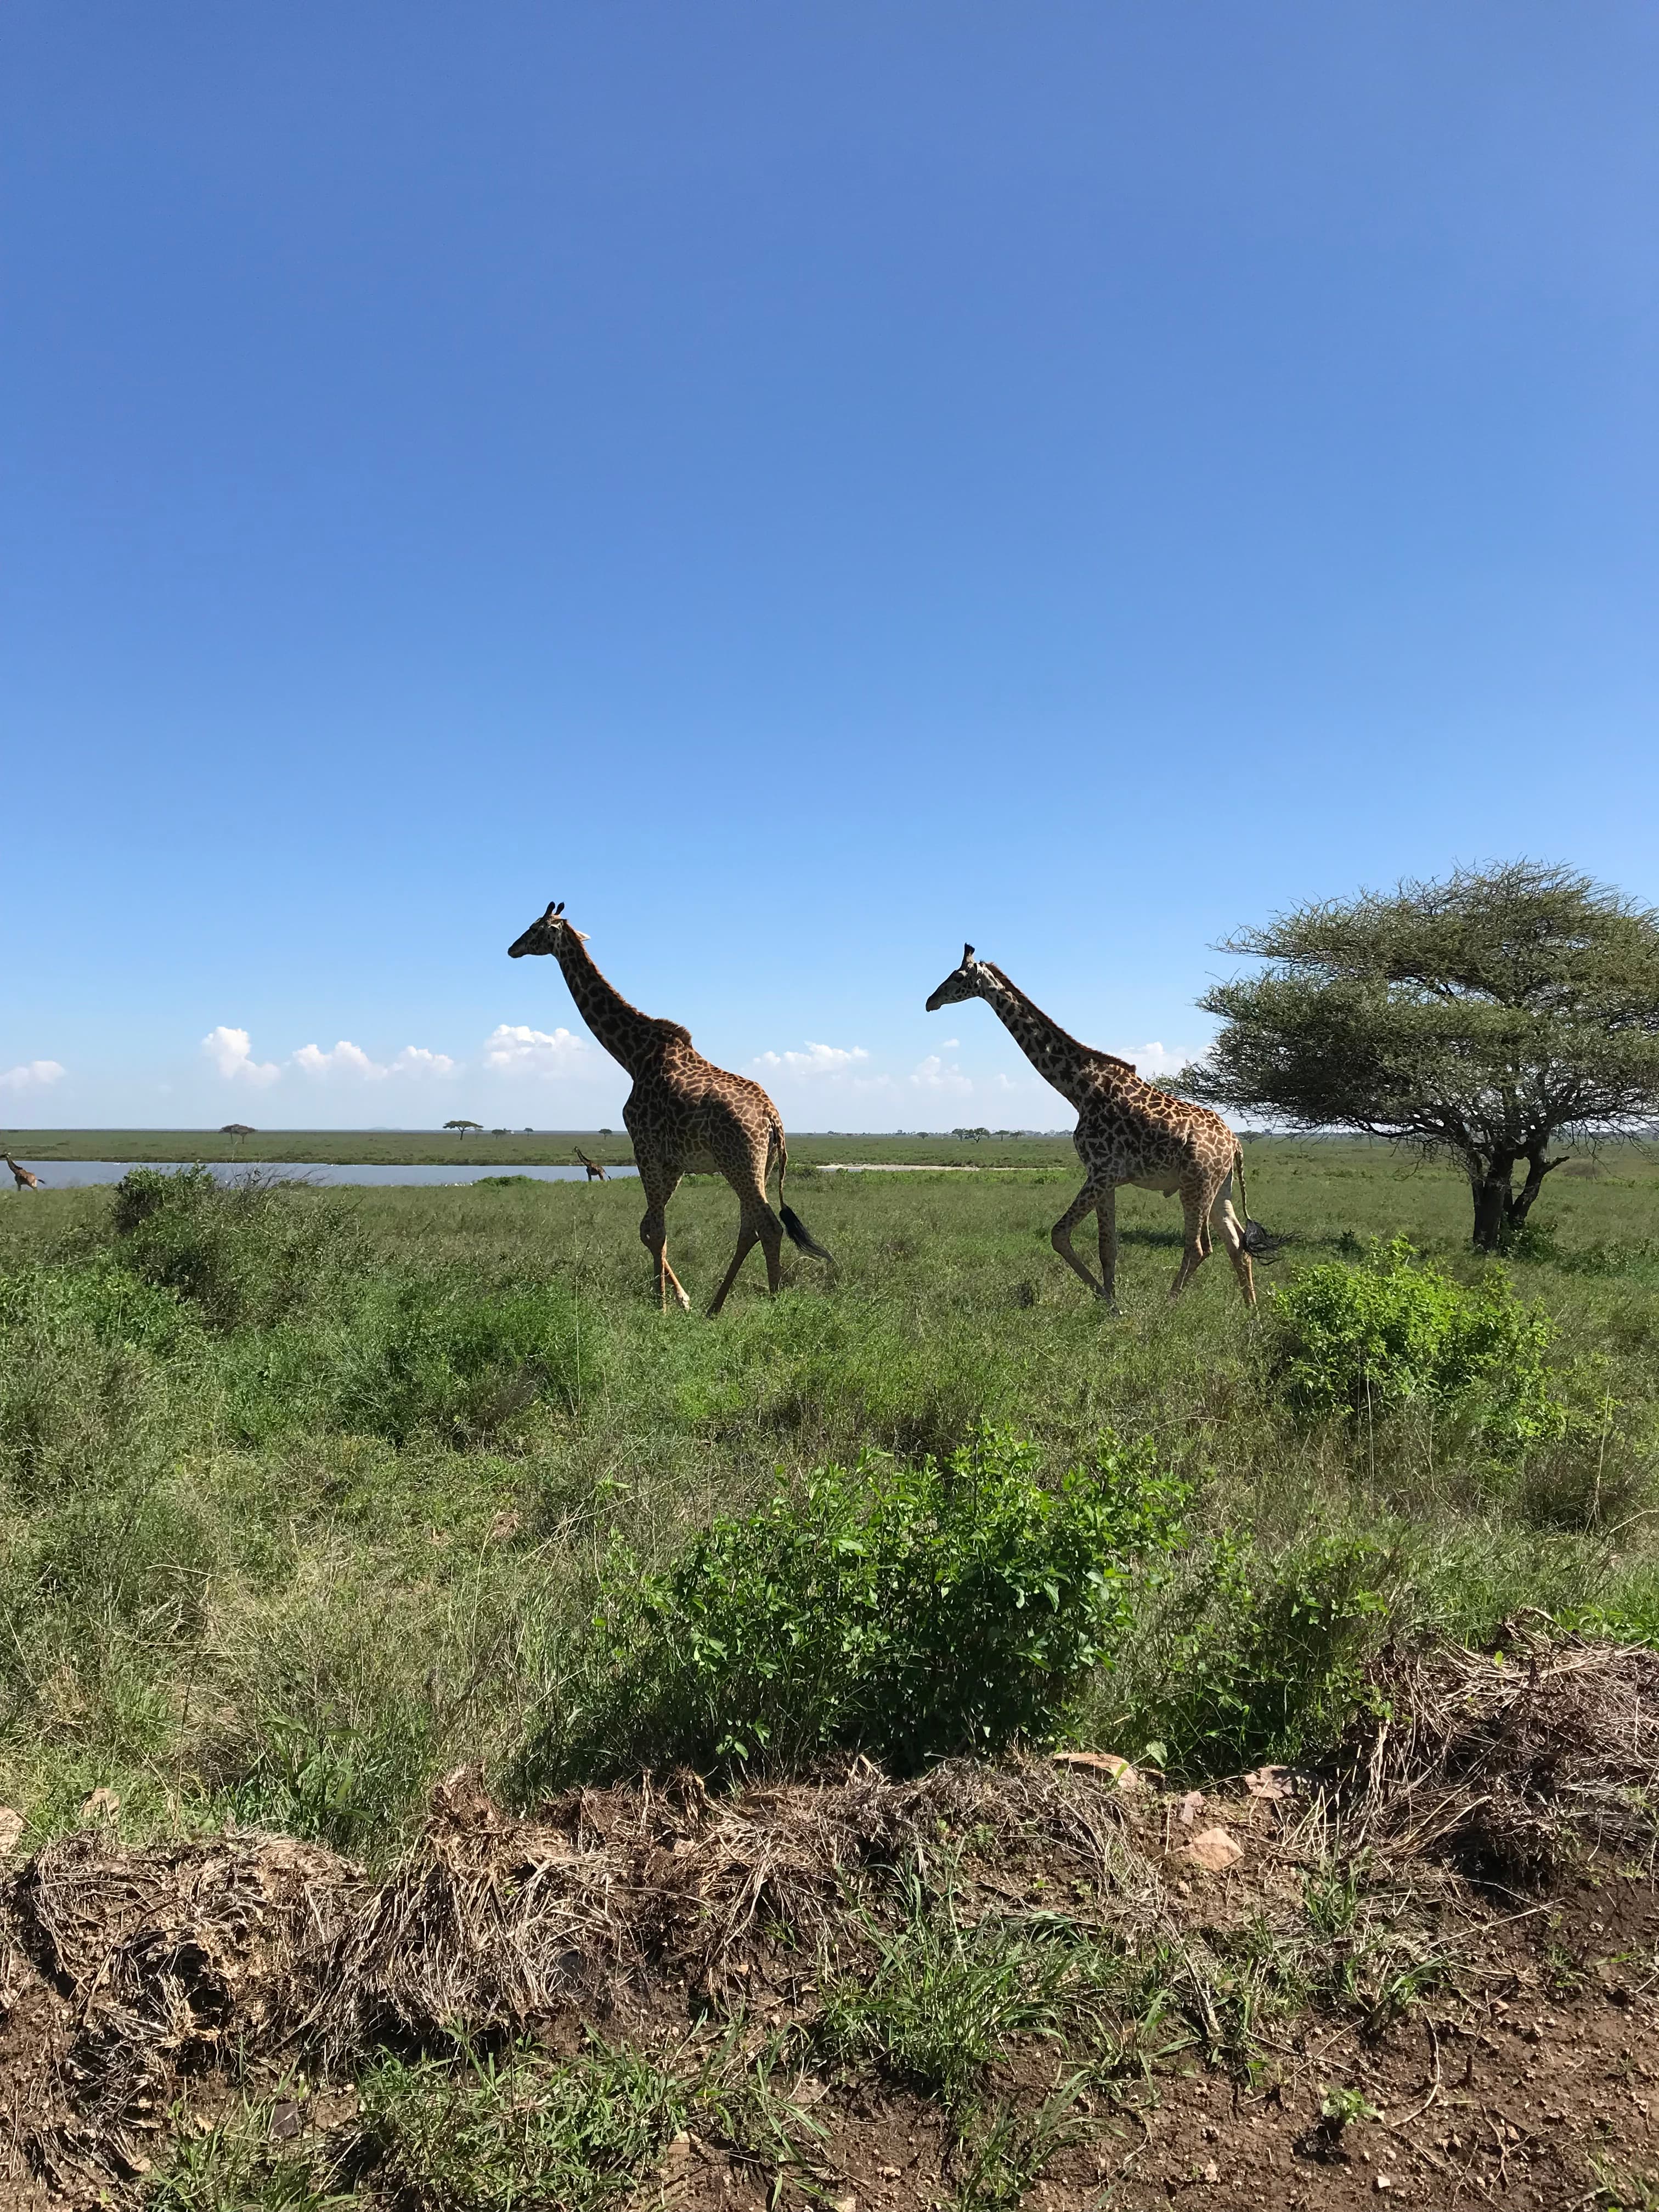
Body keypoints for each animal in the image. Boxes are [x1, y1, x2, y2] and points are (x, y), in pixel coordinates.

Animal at [509, 900, 833, 1313]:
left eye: (535, 928)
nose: (512, 949)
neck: (632, 1055)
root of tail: (773, 1120)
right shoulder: (674, 1160)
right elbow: (648, 1227)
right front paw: (680, 1298)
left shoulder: (644, 1144)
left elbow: (656, 1229)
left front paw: (662, 1304)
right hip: (760, 1165)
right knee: (751, 1226)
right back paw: (714, 1308)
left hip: (739, 1161)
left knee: (768, 1225)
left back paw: (773, 1303)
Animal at [925, 946, 1256, 1309]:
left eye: (957, 977)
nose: (930, 1001)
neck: (1078, 1089)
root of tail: (1235, 1144)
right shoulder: (1106, 1177)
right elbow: (1107, 1246)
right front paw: (1112, 1302)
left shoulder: (1101, 1171)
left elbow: (1059, 1234)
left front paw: (1109, 1302)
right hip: (1220, 1187)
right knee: (1238, 1244)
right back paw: (1252, 1313)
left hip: (1196, 1183)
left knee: (1199, 1247)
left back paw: (1167, 1308)